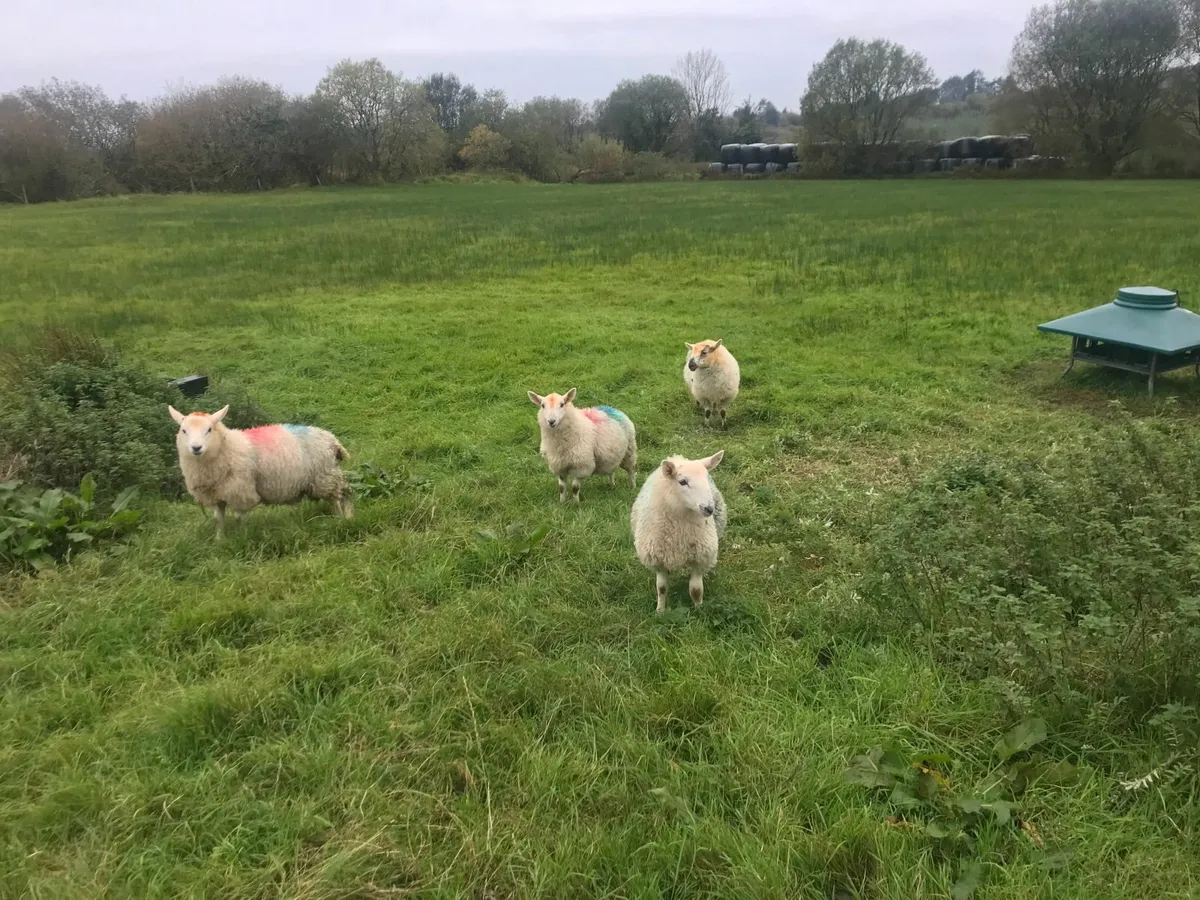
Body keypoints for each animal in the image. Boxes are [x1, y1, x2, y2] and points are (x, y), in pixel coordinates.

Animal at [168, 404, 353, 538]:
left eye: (209, 430)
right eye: (184, 431)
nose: (196, 448)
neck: (226, 448)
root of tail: (332, 439)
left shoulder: (240, 490)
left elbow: (238, 516)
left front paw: (242, 536)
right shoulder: (217, 493)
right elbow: (218, 519)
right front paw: (220, 540)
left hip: (325, 475)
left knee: (342, 495)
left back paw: (344, 519)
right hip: (326, 476)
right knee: (339, 495)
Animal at [630, 450, 726, 614]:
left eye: (706, 478)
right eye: (682, 482)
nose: (708, 508)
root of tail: (677, 458)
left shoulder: (699, 558)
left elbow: (696, 590)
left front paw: (699, 610)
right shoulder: (658, 560)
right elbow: (661, 588)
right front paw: (660, 611)